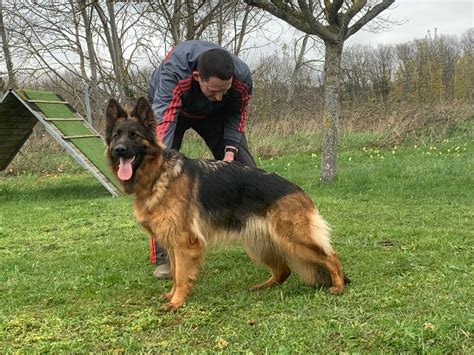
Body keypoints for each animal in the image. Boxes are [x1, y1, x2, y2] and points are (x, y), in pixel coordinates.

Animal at [106, 98, 348, 312]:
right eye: (116, 135)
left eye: (135, 136)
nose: (119, 149)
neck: (158, 174)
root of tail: (300, 191)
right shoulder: (172, 243)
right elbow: (174, 273)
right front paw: (173, 295)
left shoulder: (184, 243)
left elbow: (182, 275)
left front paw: (177, 302)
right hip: (260, 244)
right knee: (283, 271)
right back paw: (264, 286)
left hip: (293, 240)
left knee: (331, 257)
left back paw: (338, 286)